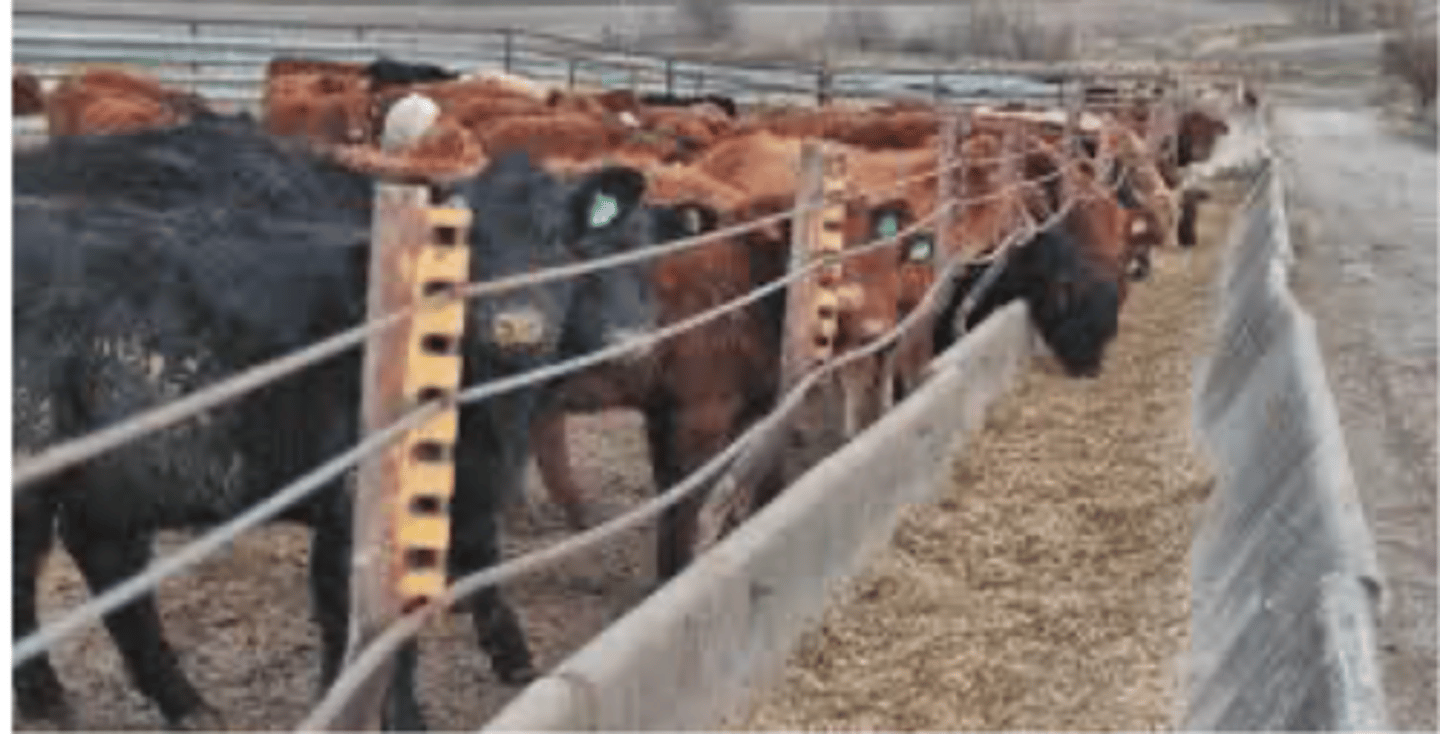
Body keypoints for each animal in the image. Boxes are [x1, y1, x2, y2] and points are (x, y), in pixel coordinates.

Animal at [12, 111, 668, 731]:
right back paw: (51, 697)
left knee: (105, 560)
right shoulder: (354, 504)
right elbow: (367, 626)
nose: (518, 324)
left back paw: (181, 702)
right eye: (466, 240)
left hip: (116, 475)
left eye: (563, 241)